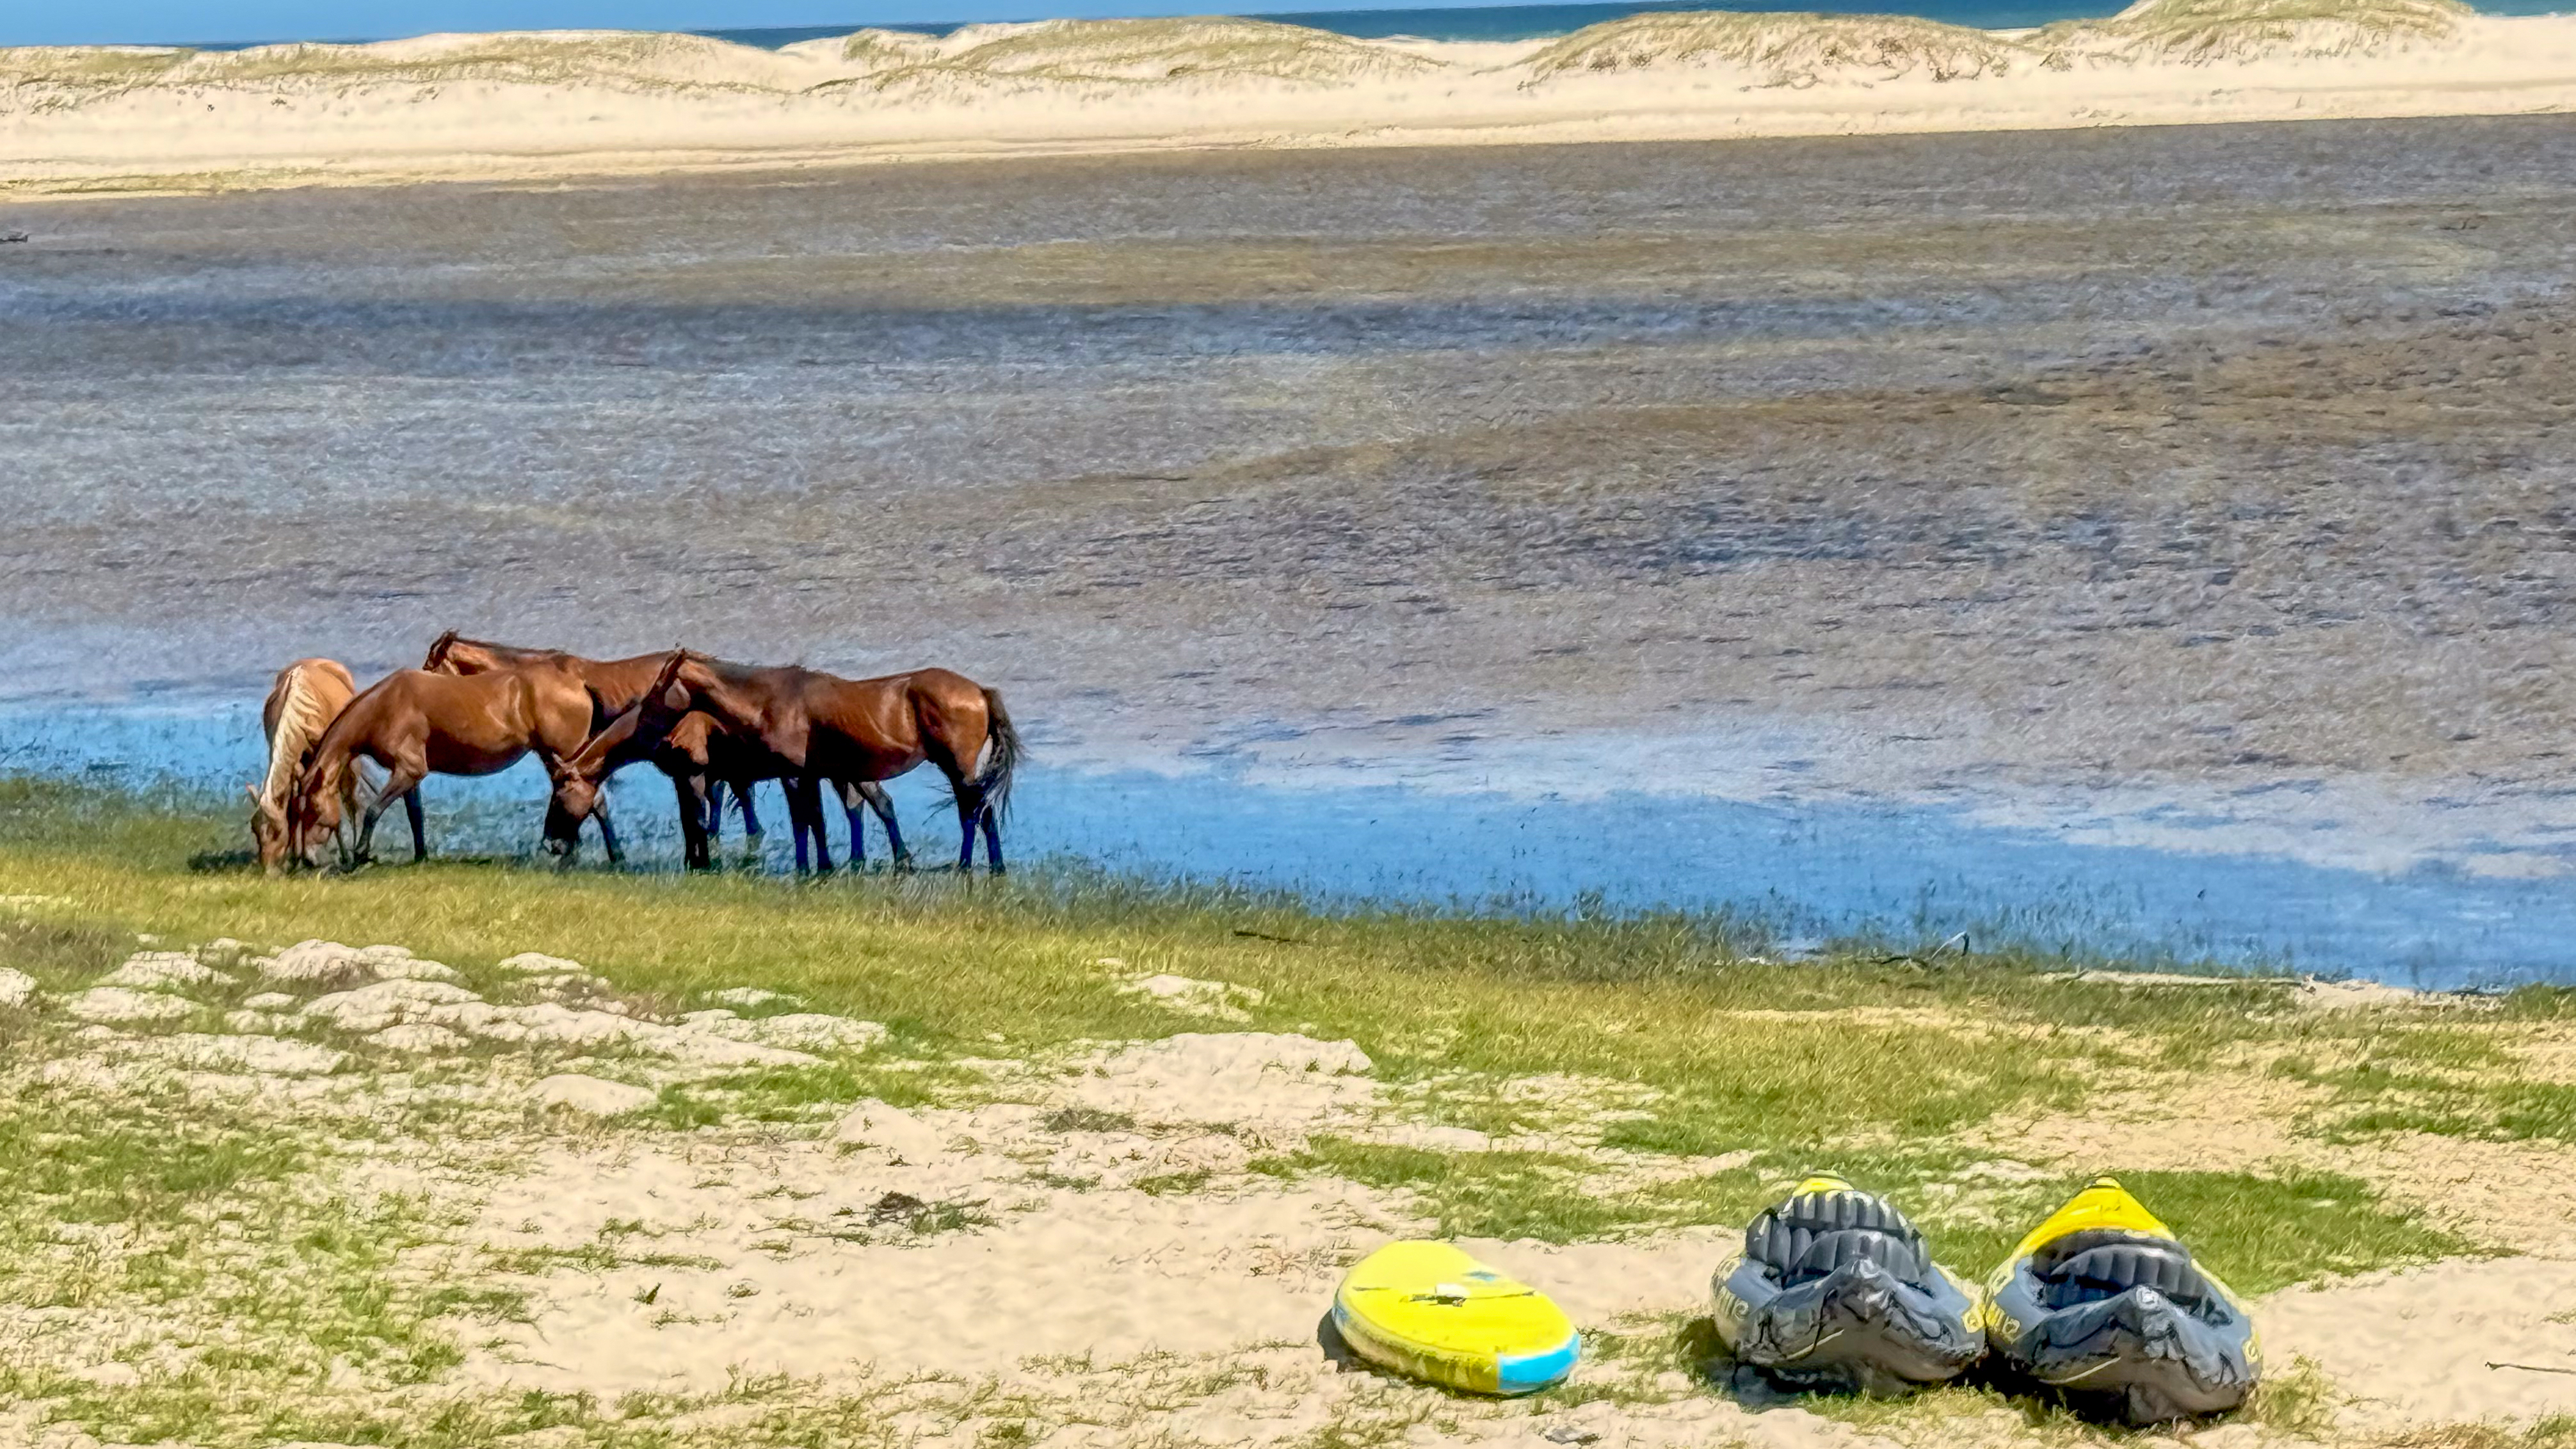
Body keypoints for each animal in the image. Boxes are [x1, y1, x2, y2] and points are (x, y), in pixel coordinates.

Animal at [247, 657, 382, 873]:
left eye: (276, 832)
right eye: (254, 829)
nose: (268, 869)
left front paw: (346, 857)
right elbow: (295, 805)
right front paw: (296, 858)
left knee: (351, 802)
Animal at [286, 667, 598, 869]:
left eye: (311, 812)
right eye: (295, 814)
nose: (306, 860)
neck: (385, 706)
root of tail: (580, 685)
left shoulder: (409, 770)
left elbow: (374, 811)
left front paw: (361, 855)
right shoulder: (409, 777)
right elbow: (416, 816)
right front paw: (420, 857)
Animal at [551, 655, 1018, 874]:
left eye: (558, 793)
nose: (550, 845)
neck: (769, 702)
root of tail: (978, 690)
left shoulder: (754, 774)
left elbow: (794, 822)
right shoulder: (798, 774)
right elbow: (814, 822)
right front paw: (820, 866)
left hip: (956, 766)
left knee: (973, 812)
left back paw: (969, 865)